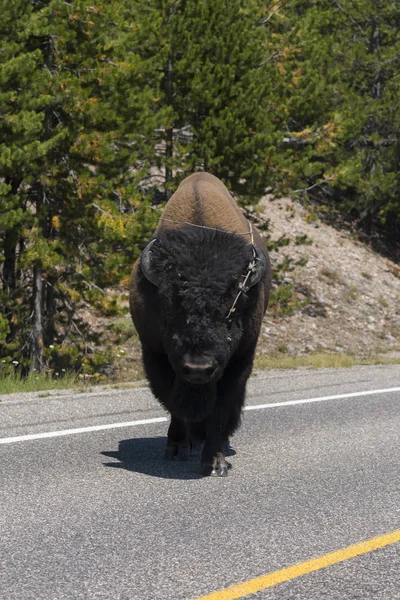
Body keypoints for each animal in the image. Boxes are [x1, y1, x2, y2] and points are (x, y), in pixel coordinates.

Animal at [130, 173, 270, 478]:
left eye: (230, 314)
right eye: (169, 313)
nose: (198, 369)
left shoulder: (239, 360)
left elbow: (220, 408)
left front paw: (215, 462)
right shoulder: (155, 354)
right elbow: (172, 401)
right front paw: (177, 447)